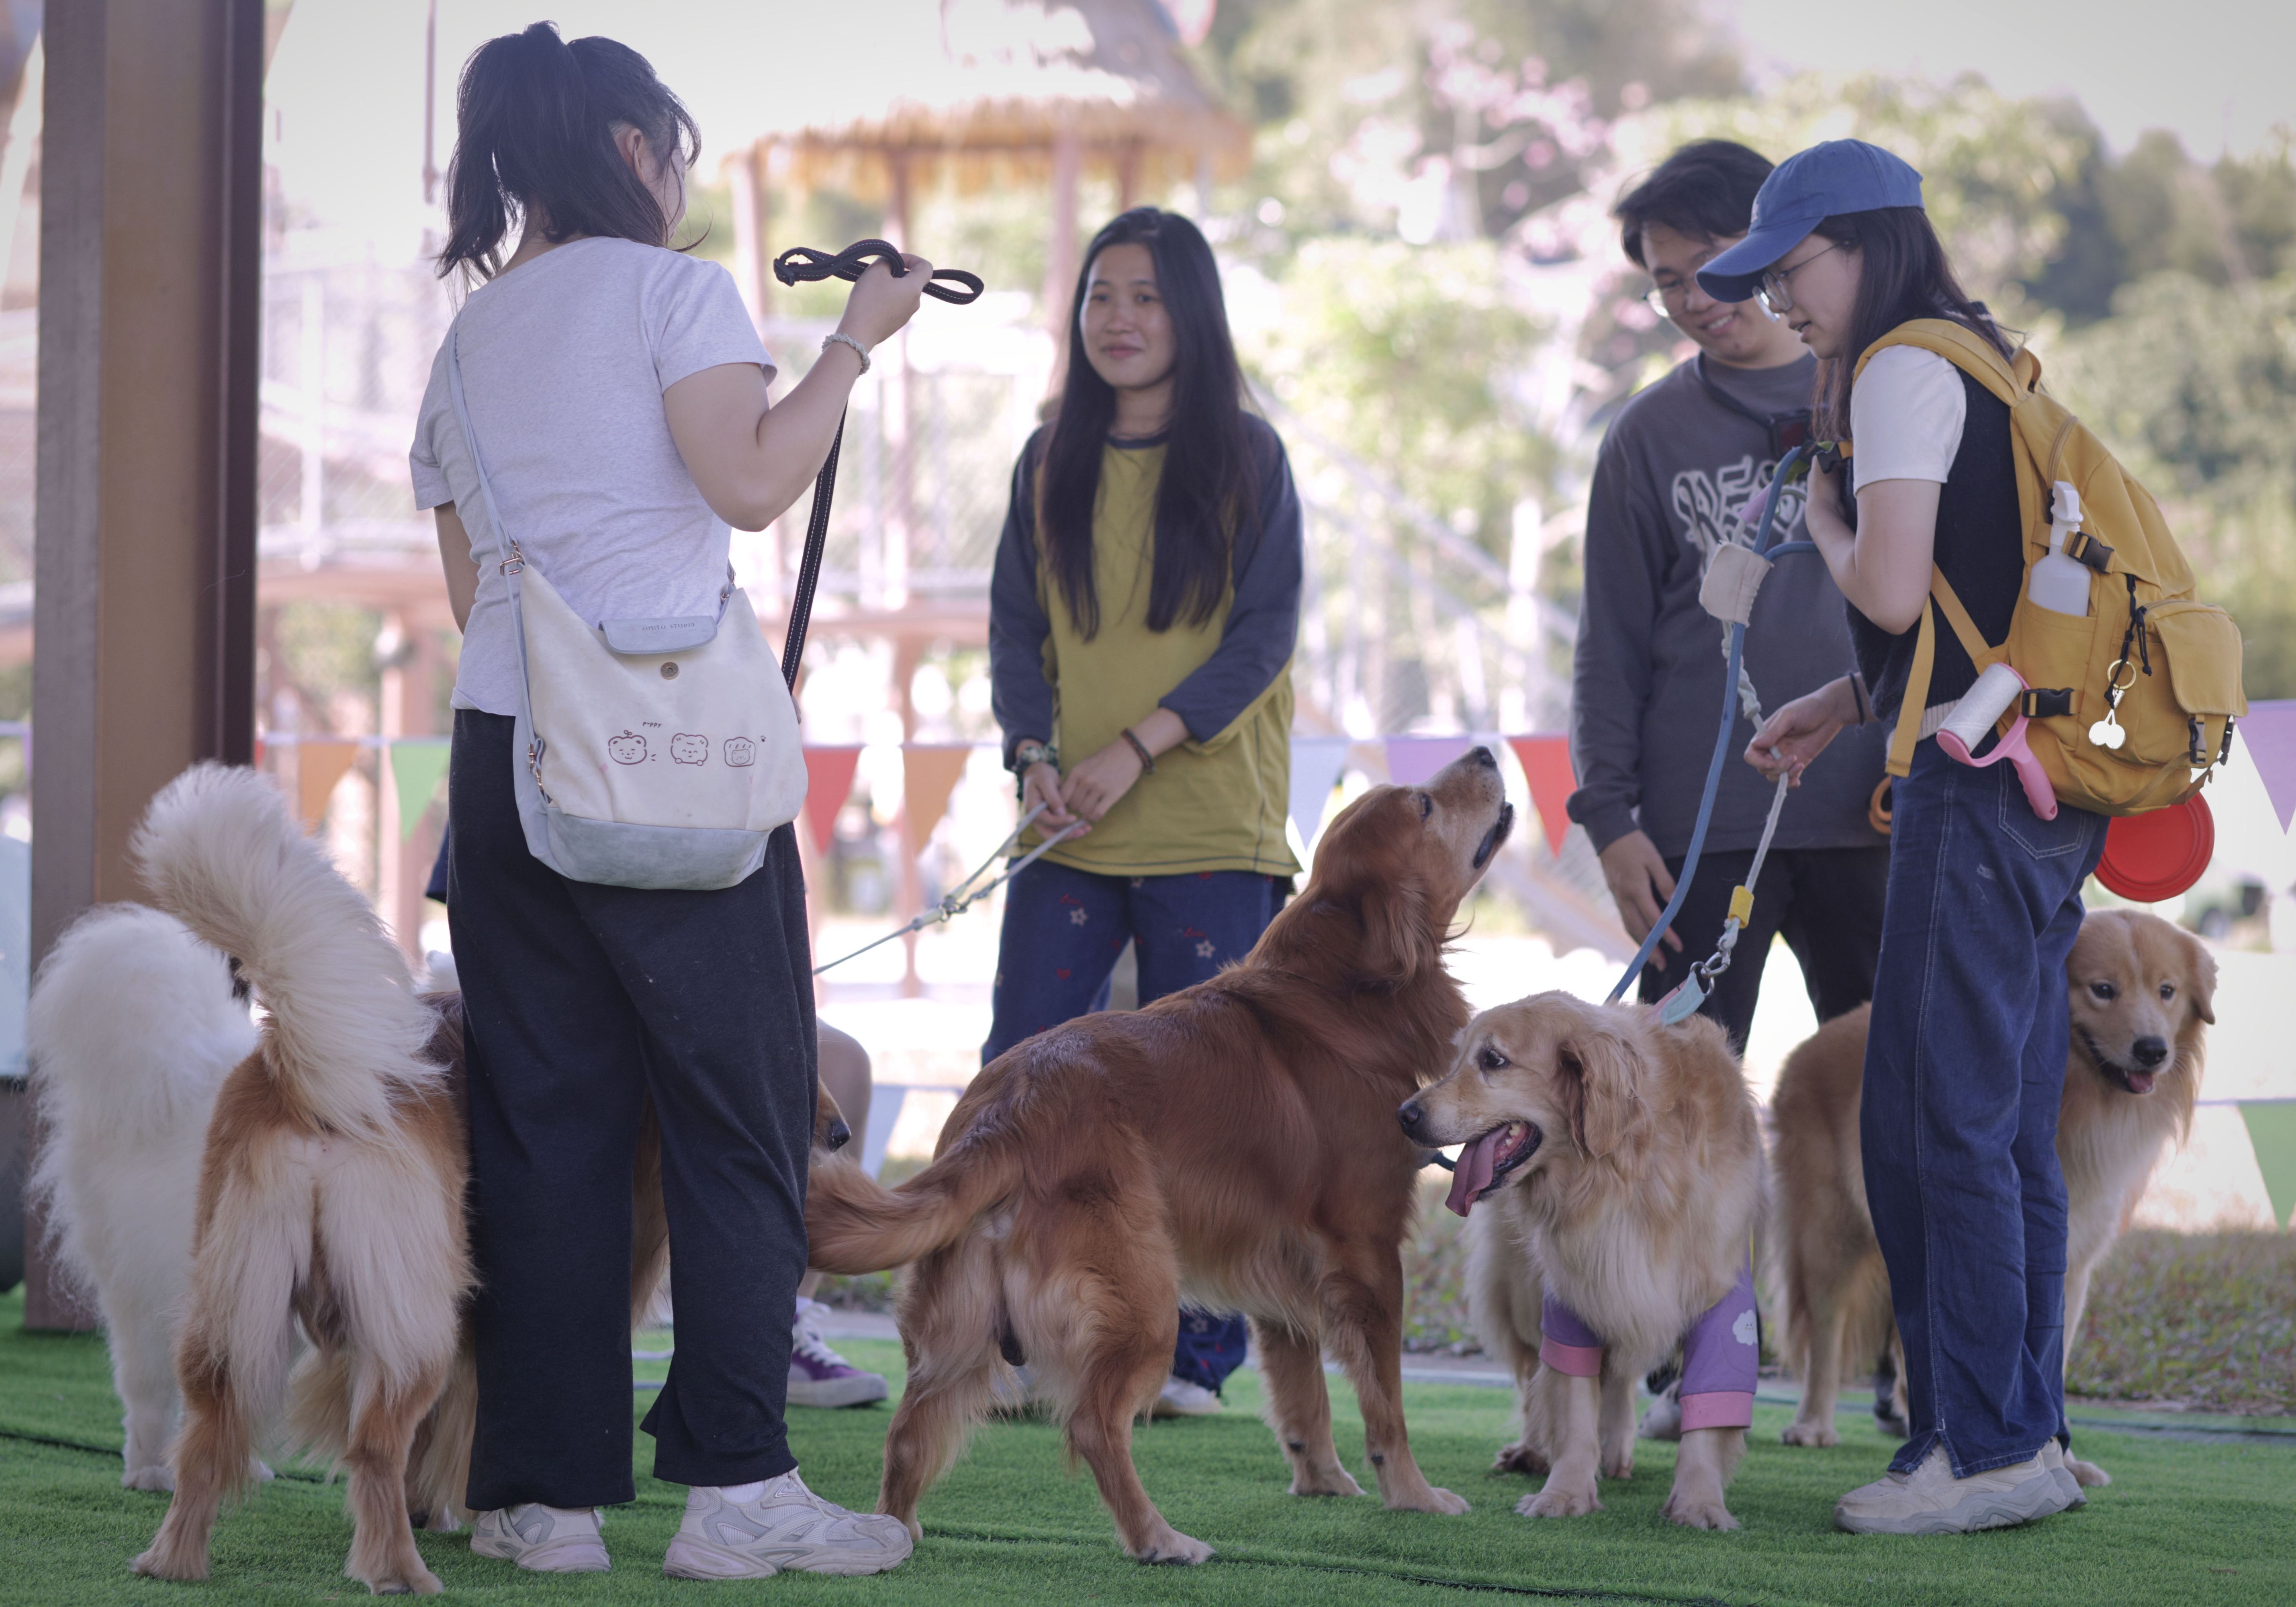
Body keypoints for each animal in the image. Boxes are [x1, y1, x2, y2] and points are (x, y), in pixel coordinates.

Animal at [805, 748, 1514, 1563]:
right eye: (1424, 805)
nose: (1486, 753)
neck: (1339, 994)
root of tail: (1006, 1113)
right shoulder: (1366, 1253)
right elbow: (1384, 1403)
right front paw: (1413, 1494)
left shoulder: (1285, 1263)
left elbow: (1303, 1394)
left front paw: (1322, 1483)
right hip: (1143, 1295)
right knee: (1091, 1424)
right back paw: (1157, 1537)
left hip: (959, 1329)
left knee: (909, 1430)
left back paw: (894, 1532)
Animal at [1405, 992, 1765, 1529]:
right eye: (1458, 1057)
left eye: (1493, 1060)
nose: (1403, 1114)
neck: (1619, 1171)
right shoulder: (1574, 1293)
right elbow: (1572, 1402)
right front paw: (1566, 1492)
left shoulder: (1721, 1299)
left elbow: (1707, 1412)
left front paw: (1700, 1501)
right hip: (1521, 1293)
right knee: (1536, 1378)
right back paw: (1535, 1450)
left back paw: (1616, 1450)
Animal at [1767, 908, 2212, 1486]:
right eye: (2102, 990)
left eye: (2166, 990)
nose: (2152, 1050)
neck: (2075, 1105)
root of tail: (1808, 1045)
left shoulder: (2069, 1264)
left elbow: (2049, 1361)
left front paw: (2061, 1460)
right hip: (1830, 1235)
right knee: (1825, 1334)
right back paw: (1813, 1425)